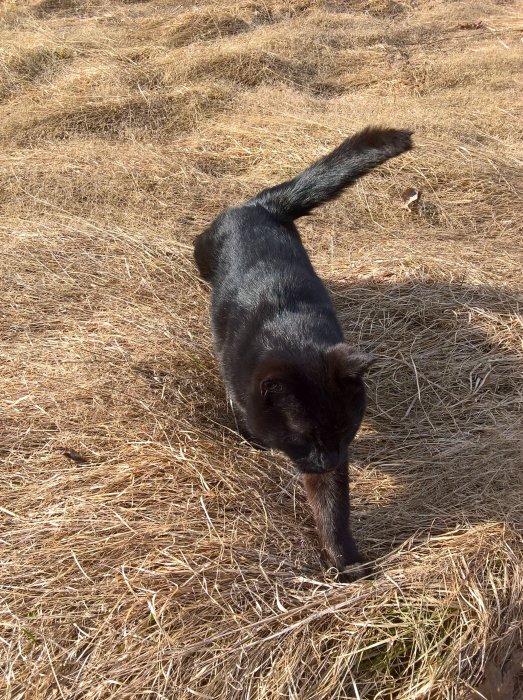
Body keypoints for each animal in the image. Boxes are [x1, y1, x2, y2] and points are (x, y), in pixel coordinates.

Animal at [193, 127, 414, 576]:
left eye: (346, 429)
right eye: (304, 436)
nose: (328, 459)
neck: (289, 331)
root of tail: (259, 206)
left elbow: (331, 509)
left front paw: (346, 563)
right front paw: (253, 440)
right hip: (202, 250)